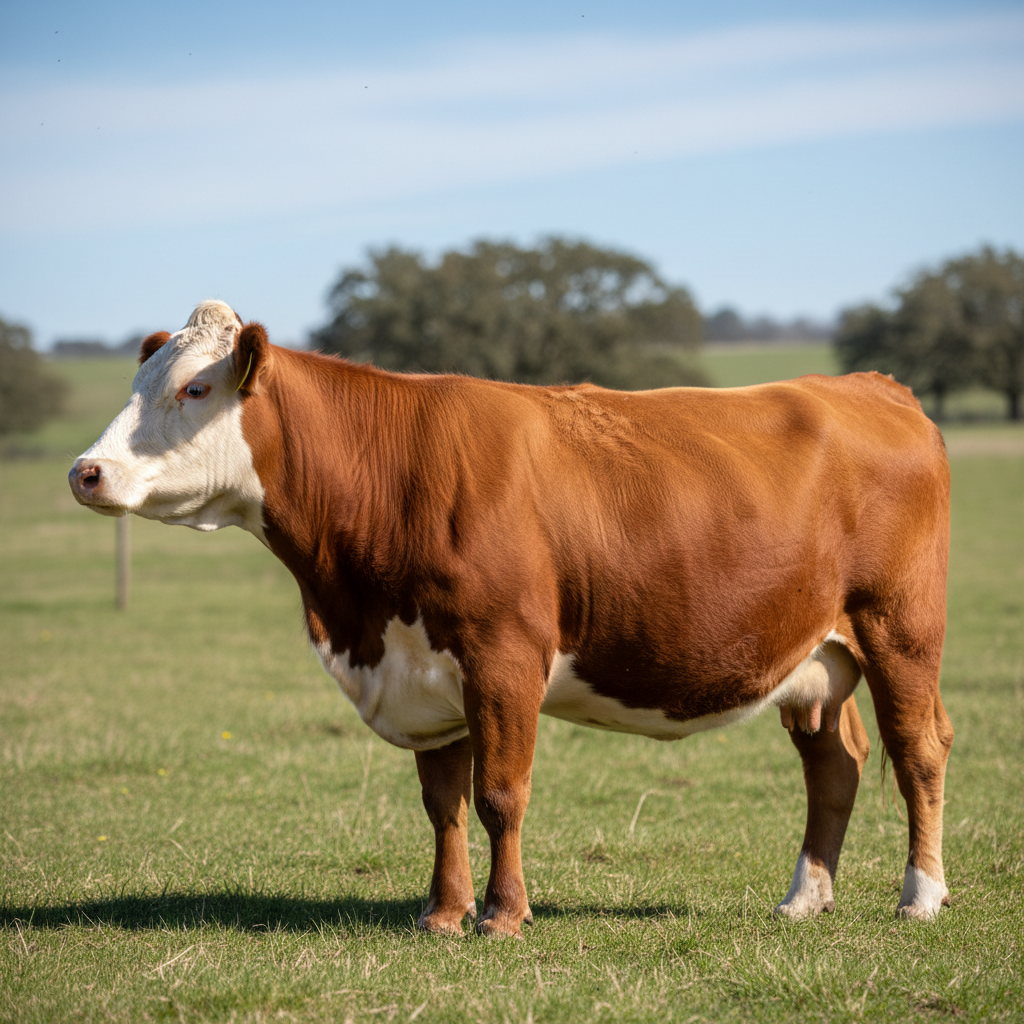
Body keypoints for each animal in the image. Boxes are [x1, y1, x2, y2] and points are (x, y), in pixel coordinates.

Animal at [68, 300, 953, 937]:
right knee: (835, 763)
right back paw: (806, 898)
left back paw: (920, 896)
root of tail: (868, 386)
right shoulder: (425, 672)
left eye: (194, 388)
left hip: (900, 627)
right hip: (817, 655)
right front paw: (443, 914)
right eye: (139, 384)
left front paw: (502, 915)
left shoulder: (504, 656)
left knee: (919, 749)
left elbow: (499, 793)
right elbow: (443, 805)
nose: (86, 471)